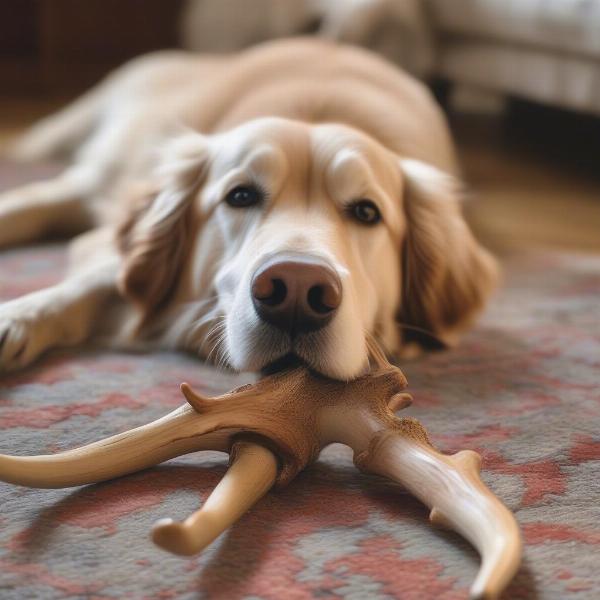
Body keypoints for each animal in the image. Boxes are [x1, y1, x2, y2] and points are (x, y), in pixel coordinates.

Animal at [0, 38, 496, 380]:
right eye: (239, 196)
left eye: (367, 212)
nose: (297, 290)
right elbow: (100, 278)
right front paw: (18, 316)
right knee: (39, 196)